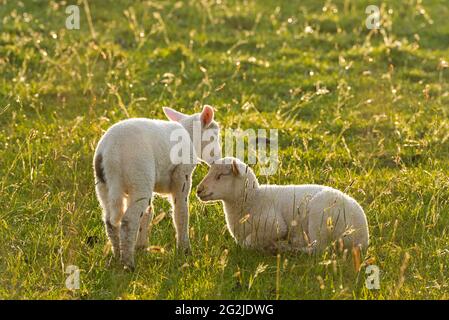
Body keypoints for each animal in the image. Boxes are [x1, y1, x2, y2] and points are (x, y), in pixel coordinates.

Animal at [94, 106, 220, 268]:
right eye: (214, 137)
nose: (218, 160)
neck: (190, 135)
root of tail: (111, 153)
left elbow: (148, 213)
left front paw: (142, 247)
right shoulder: (181, 175)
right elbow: (181, 213)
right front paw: (184, 249)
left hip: (105, 185)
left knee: (110, 221)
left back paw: (117, 256)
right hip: (139, 176)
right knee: (128, 221)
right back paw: (128, 264)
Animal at [196, 157, 368, 252]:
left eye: (220, 176)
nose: (198, 190)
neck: (254, 199)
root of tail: (363, 238)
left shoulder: (274, 225)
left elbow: (248, 243)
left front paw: (269, 245)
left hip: (320, 219)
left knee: (317, 249)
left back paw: (287, 247)